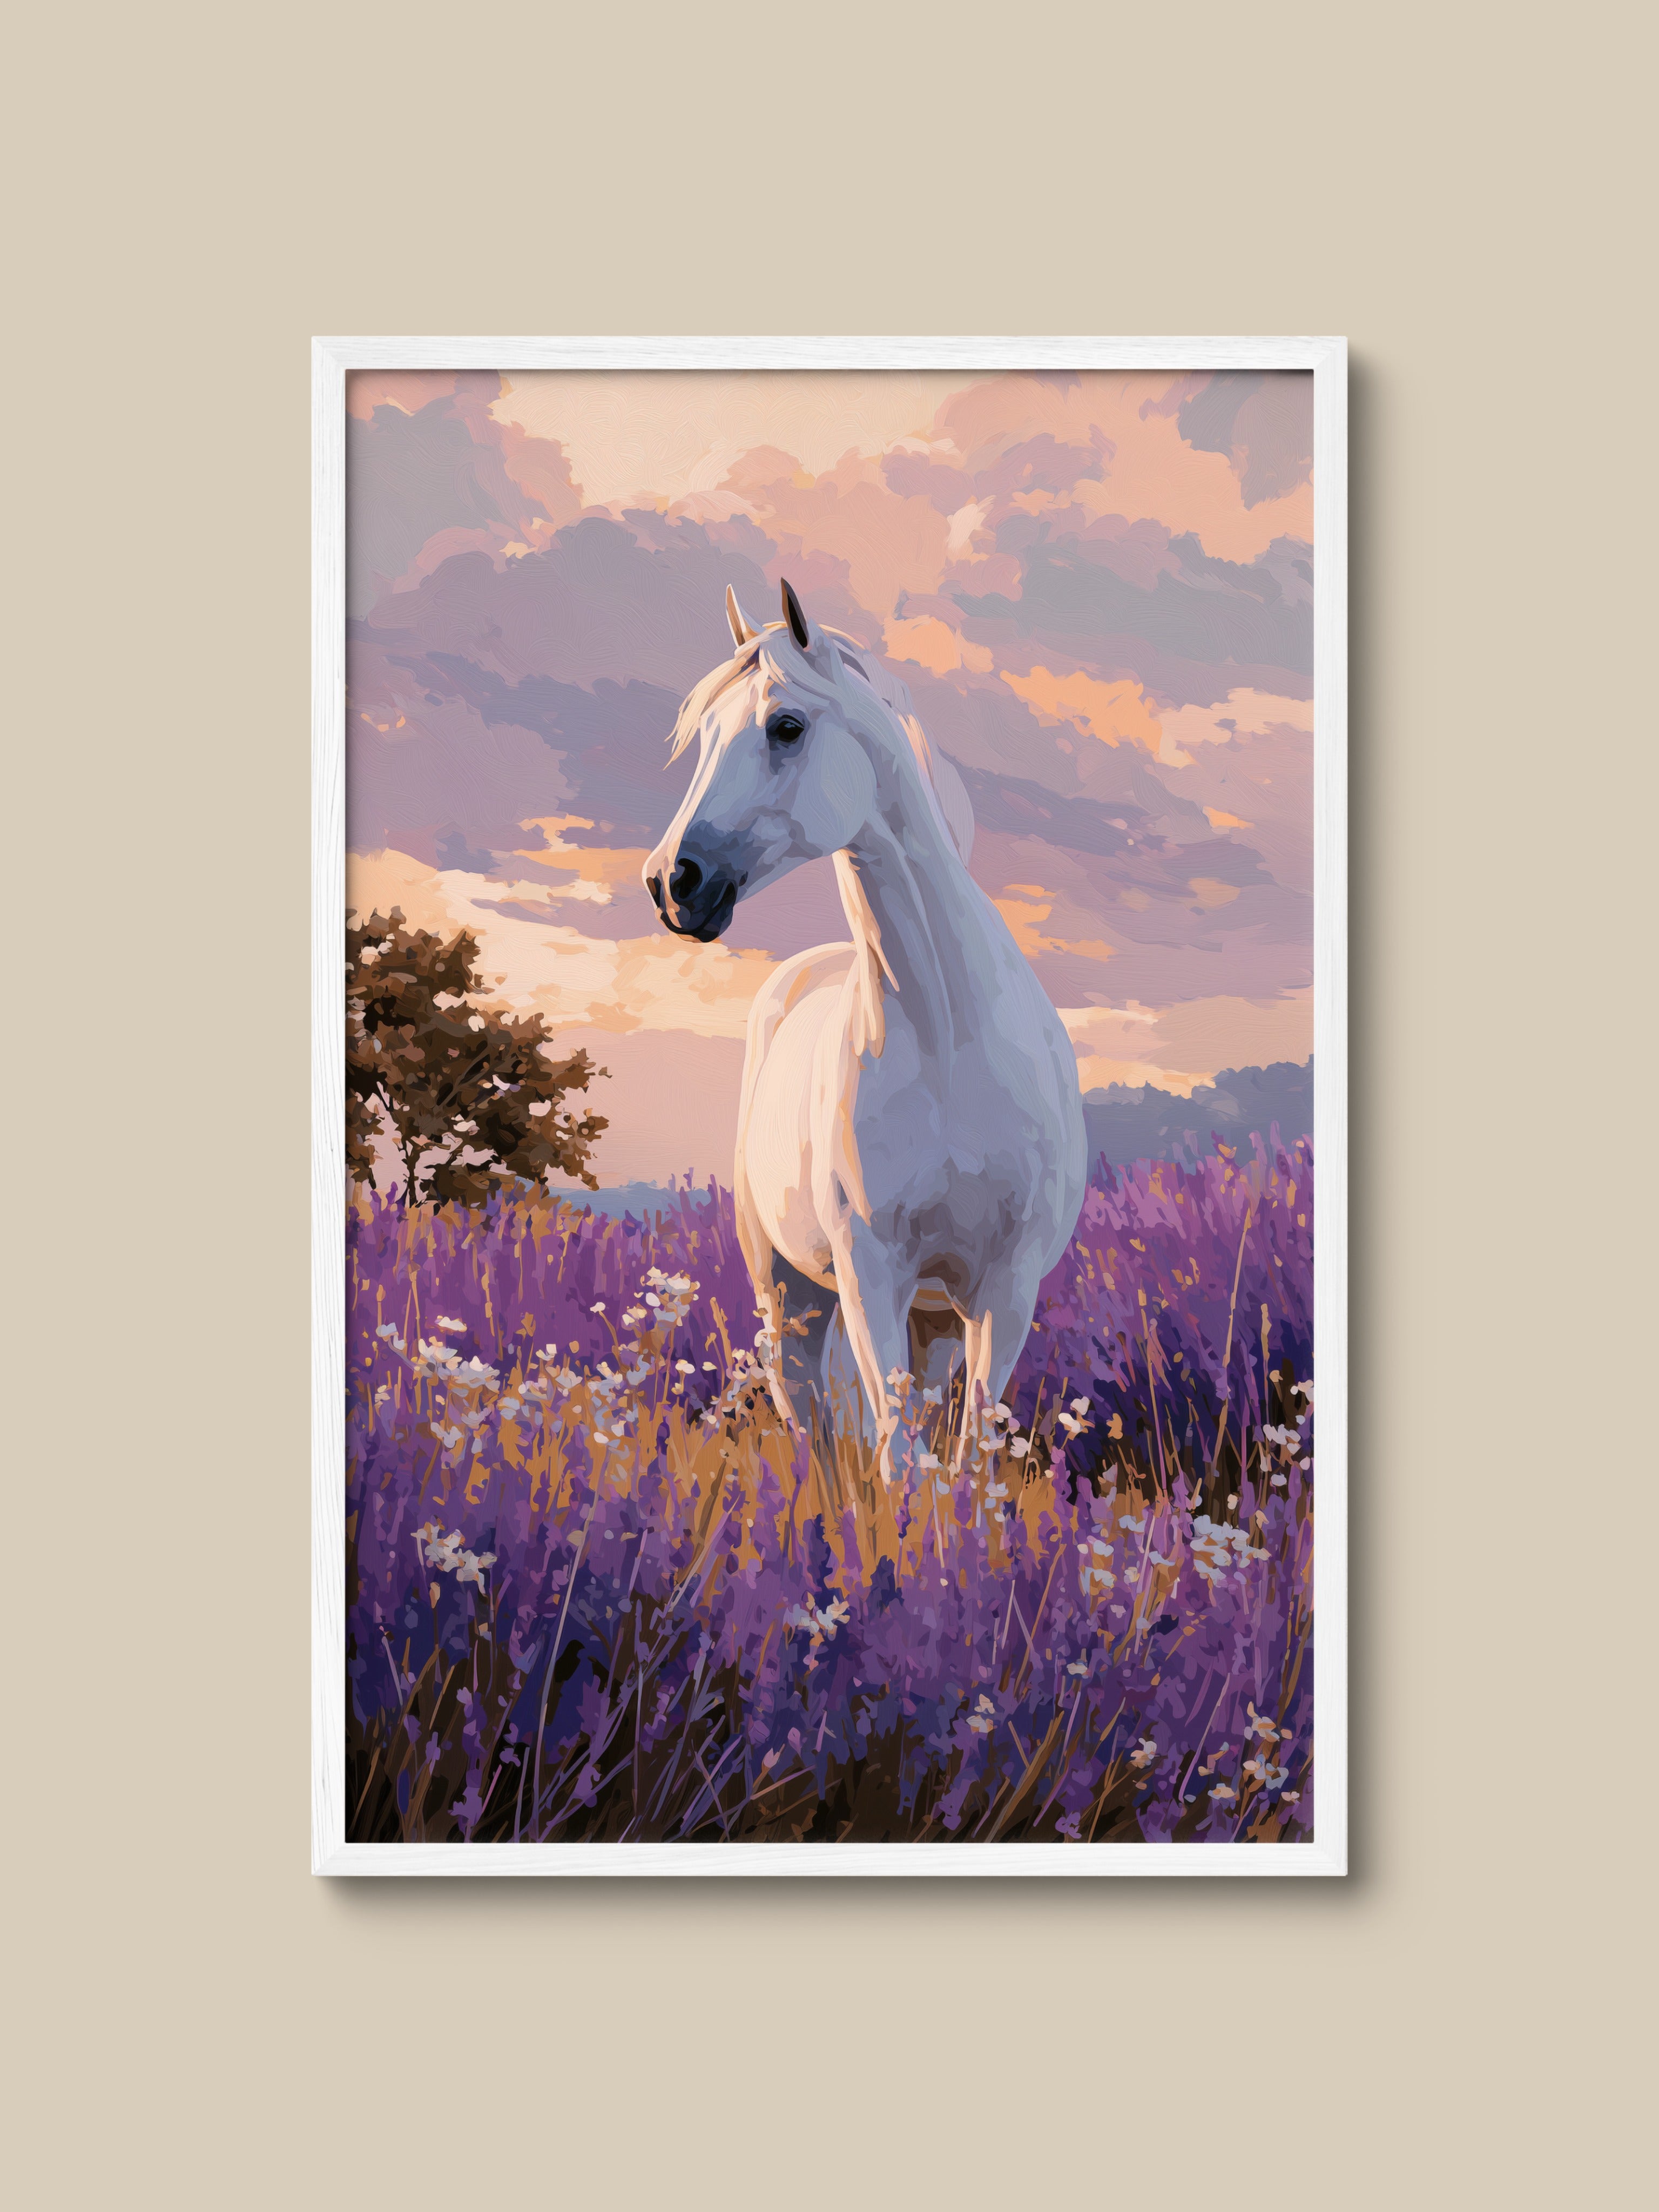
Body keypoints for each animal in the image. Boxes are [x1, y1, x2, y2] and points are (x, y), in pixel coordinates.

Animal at [643, 578, 1087, 1473]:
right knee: (811, 1427)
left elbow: (967, 1460)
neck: (951, 1040)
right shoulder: (872, 1274)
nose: (673, 882)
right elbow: (896, 1456)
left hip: (935, 1320)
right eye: (703, 736)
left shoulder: (1003, 1289)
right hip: (794, 1298)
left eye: (786, 726)